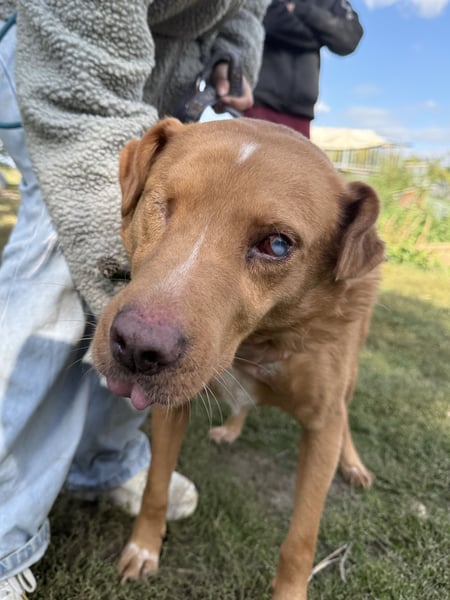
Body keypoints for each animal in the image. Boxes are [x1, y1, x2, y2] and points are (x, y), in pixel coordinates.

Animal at [92, 117, 385, 599]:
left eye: (278, 245)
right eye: (161, 203)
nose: (136, 348)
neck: (256, 342)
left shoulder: (321, 425)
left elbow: (301, 540)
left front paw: (290, 593)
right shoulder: (170, 408)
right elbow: (156, 487)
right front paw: (143, 549)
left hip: (353, 374)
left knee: (346, 416)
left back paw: (355, 465)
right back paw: (231, 427)